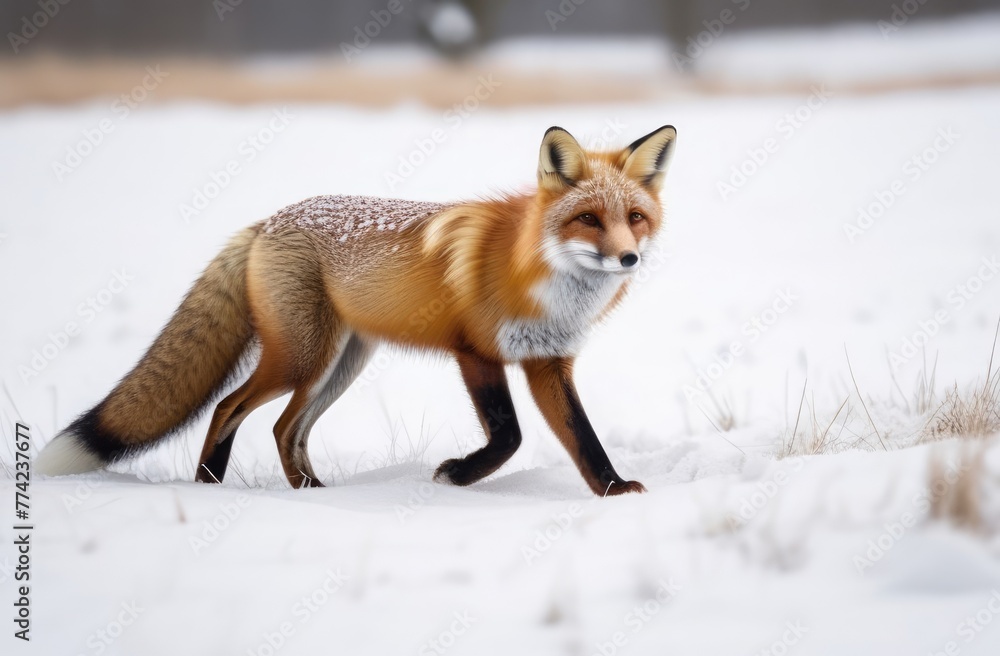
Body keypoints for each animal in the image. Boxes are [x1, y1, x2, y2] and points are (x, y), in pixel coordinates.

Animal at [35, 125, 676, 498]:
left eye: (634, 217)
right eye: (588, 218)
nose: (628, 258)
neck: (541, 280)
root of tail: (268, 219)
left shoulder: (548, 362)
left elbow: (583, 439)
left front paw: (614, 491)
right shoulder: (476, 354)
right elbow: (509, 437)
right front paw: (455, 475)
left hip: (340, 366)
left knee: (284, 427)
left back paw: (309, 489)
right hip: (300, 361)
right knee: (229, 408)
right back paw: (210, 488)